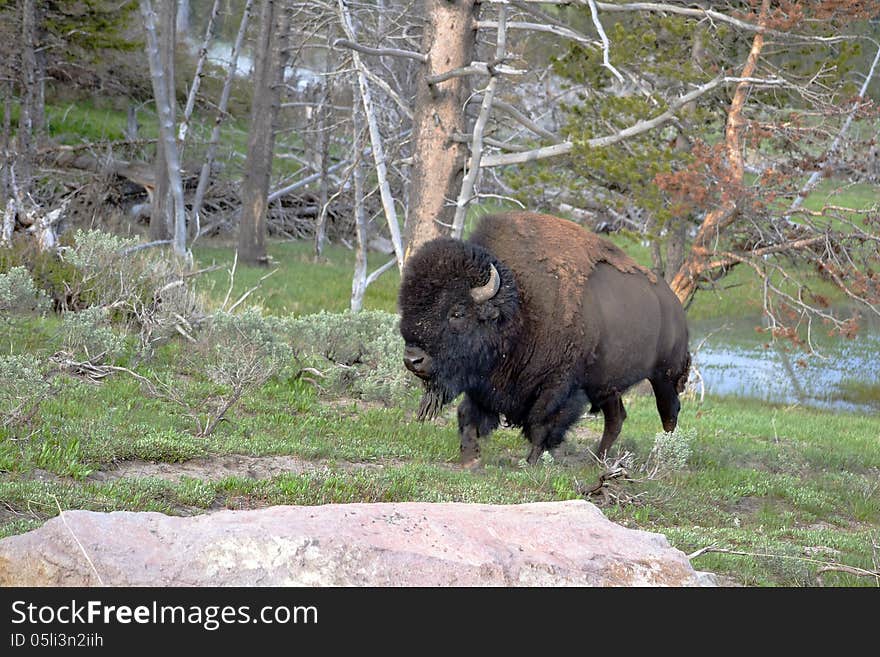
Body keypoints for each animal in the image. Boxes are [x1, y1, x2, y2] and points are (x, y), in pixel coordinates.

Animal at [396, 213, 692, 464]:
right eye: (406, 305)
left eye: (457, 312)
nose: (413, 359)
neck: (519, 306)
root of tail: (674, 305)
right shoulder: (484, 385)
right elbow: (468, 416)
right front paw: (470, 459)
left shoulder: (558, 386)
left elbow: (541, 424)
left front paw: (529, 463)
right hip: (608, 385)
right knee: (616, 418)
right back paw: (598, 461)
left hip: (664, 376)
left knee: (669, 414)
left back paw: (663, 459)